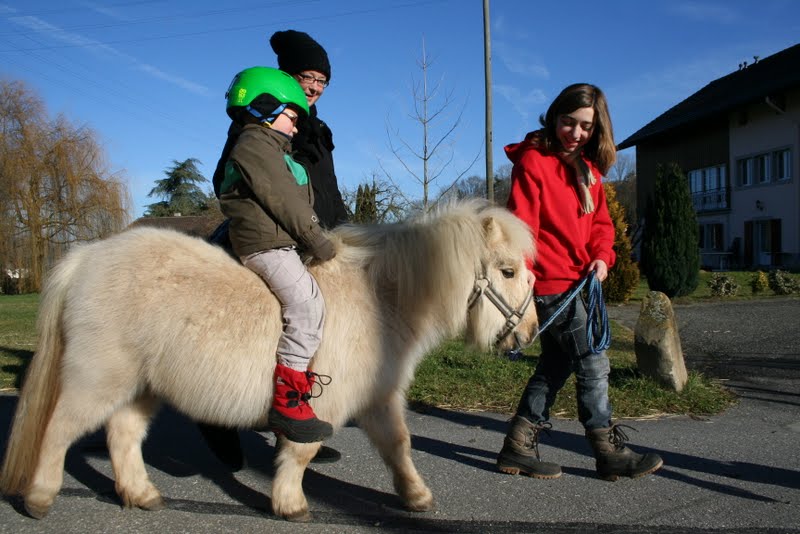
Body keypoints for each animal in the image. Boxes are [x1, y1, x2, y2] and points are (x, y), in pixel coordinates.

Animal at [1, 200, 536, 524]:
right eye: (508, 271)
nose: (530, 333)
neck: (381, 300)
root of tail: (85, 258)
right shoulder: (326, 403)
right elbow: (301, 451)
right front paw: (289, 503)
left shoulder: (379, 399)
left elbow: (398, 447)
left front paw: (416, 496)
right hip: (98, 378)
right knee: (59, 429)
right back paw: (40, 496)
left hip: (141, 385)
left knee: (122, 434)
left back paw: (142, 494)